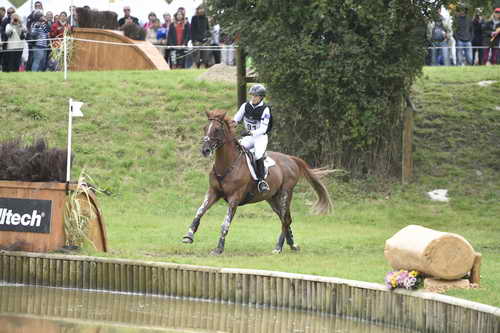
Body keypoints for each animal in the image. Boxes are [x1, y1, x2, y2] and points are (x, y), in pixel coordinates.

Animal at [183, 109, 332, 254]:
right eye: (204, 128)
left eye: (217, 129)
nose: (205, 150)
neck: (227, 165)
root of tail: (291, 159)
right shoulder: (213, 192)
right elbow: (199, 212)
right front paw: (189, 235)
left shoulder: (234, 198)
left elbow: (225, 223)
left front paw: (219, 248)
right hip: (272, 198)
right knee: (285, 219)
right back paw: (292, 245)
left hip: (285, 194)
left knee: (285, 220)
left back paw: (278, 247)